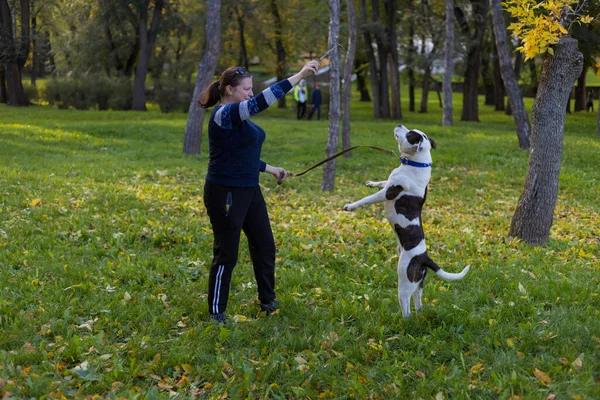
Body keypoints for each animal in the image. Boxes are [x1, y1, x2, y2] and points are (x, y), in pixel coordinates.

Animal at [342, 123, 468, 318]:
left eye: (410, 134)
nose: (400, 124)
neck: (416, 162)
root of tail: (424, 258)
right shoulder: (388, 183)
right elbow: (382, 181)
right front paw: (372, 182)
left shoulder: (388, 193)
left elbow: (366, 199)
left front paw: (351, 206)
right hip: (418, 283)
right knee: (418, 301)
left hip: (404, 281)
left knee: (406, 307)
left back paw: (401, 319)